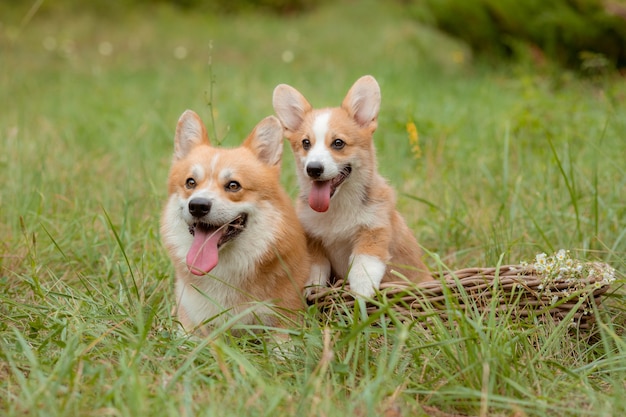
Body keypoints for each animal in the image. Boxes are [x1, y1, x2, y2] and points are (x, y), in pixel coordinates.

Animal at [270, 75, 432, 296]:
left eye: (338, 143)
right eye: (306, 143)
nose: (313, 169)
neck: (338, 205)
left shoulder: (374, 229)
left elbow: (363, 264)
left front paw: (362, 292)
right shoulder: (312, 238)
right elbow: (316, 266)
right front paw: (312, 289)